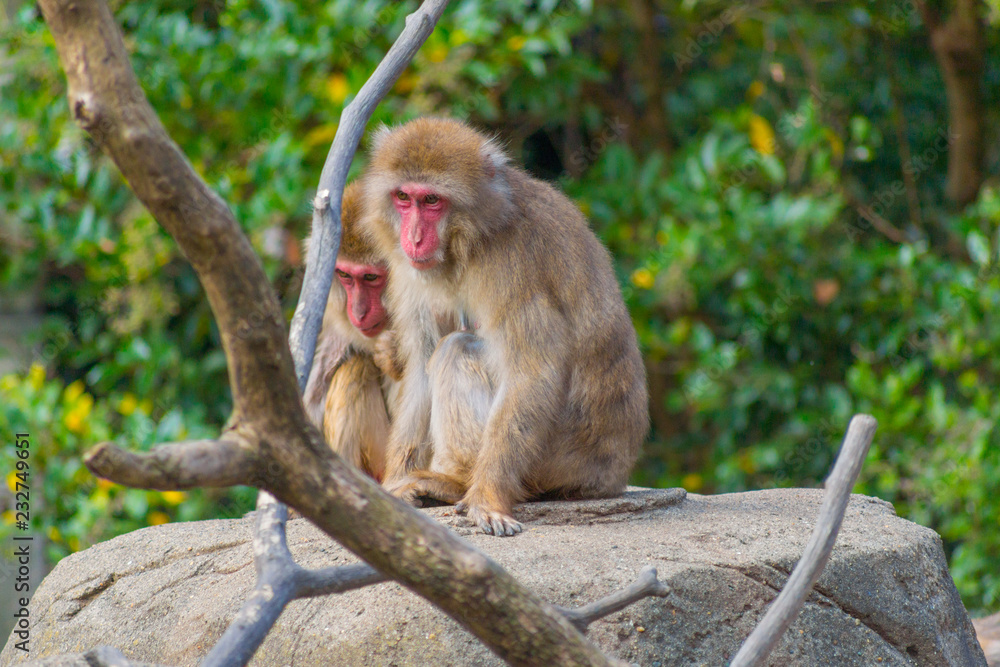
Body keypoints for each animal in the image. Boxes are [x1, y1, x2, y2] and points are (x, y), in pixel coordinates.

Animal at [362, 117, 649, 536]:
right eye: (403, 197)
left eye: (431, 201)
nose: (412, 238)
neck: (472, 238)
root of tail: (612, 476)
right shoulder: (409, 271)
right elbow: (418, 370)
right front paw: (392, 489)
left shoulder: (512, 264)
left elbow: (532, 373)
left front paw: (487, 498)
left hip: (558, 458)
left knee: (458, 349)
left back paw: (456, 481)